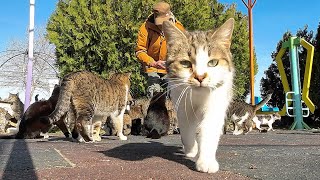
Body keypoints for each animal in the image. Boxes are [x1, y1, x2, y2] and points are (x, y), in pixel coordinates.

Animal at [162, 18, 235, 173]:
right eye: (185, 63)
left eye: (213, 62)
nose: (200, 77)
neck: (198, 97)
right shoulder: (181, 106)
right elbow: (186, 129)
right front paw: (191, 150)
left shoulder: (216, 102)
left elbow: (208, 129)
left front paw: (206, 161)